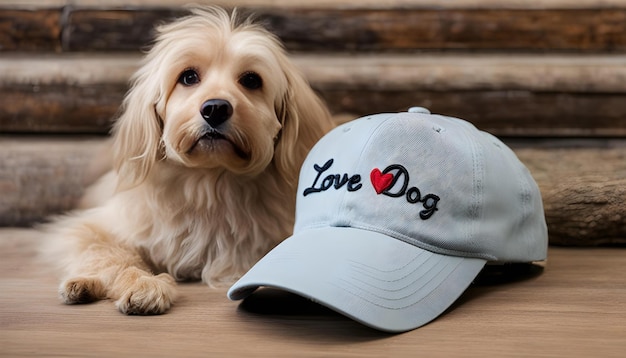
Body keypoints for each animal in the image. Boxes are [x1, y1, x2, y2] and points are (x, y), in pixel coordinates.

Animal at [40, 4, 334, 314]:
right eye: (188, 77)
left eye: (252, 80)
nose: (215, 108)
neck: (211, 182)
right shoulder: (89, 229)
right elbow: (110, 253)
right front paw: (142, 283)